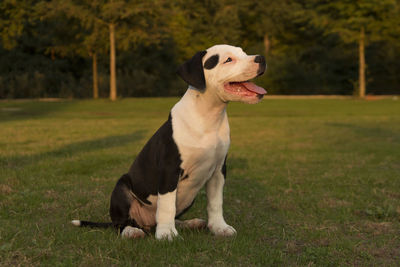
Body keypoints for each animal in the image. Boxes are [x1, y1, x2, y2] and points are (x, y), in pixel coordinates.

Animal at [71, 44, 266, 241]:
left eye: (243, 52)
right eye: (228, 60)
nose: (261, 58)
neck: (209, 116)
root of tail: (146, 223)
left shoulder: (218, 171)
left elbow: (215, 202)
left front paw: (220, 228)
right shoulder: (169, 169)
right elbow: (166, 204)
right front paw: (166, 233)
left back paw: (190, 223)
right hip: (122, 188)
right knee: (121, 222)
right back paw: (132, 231)